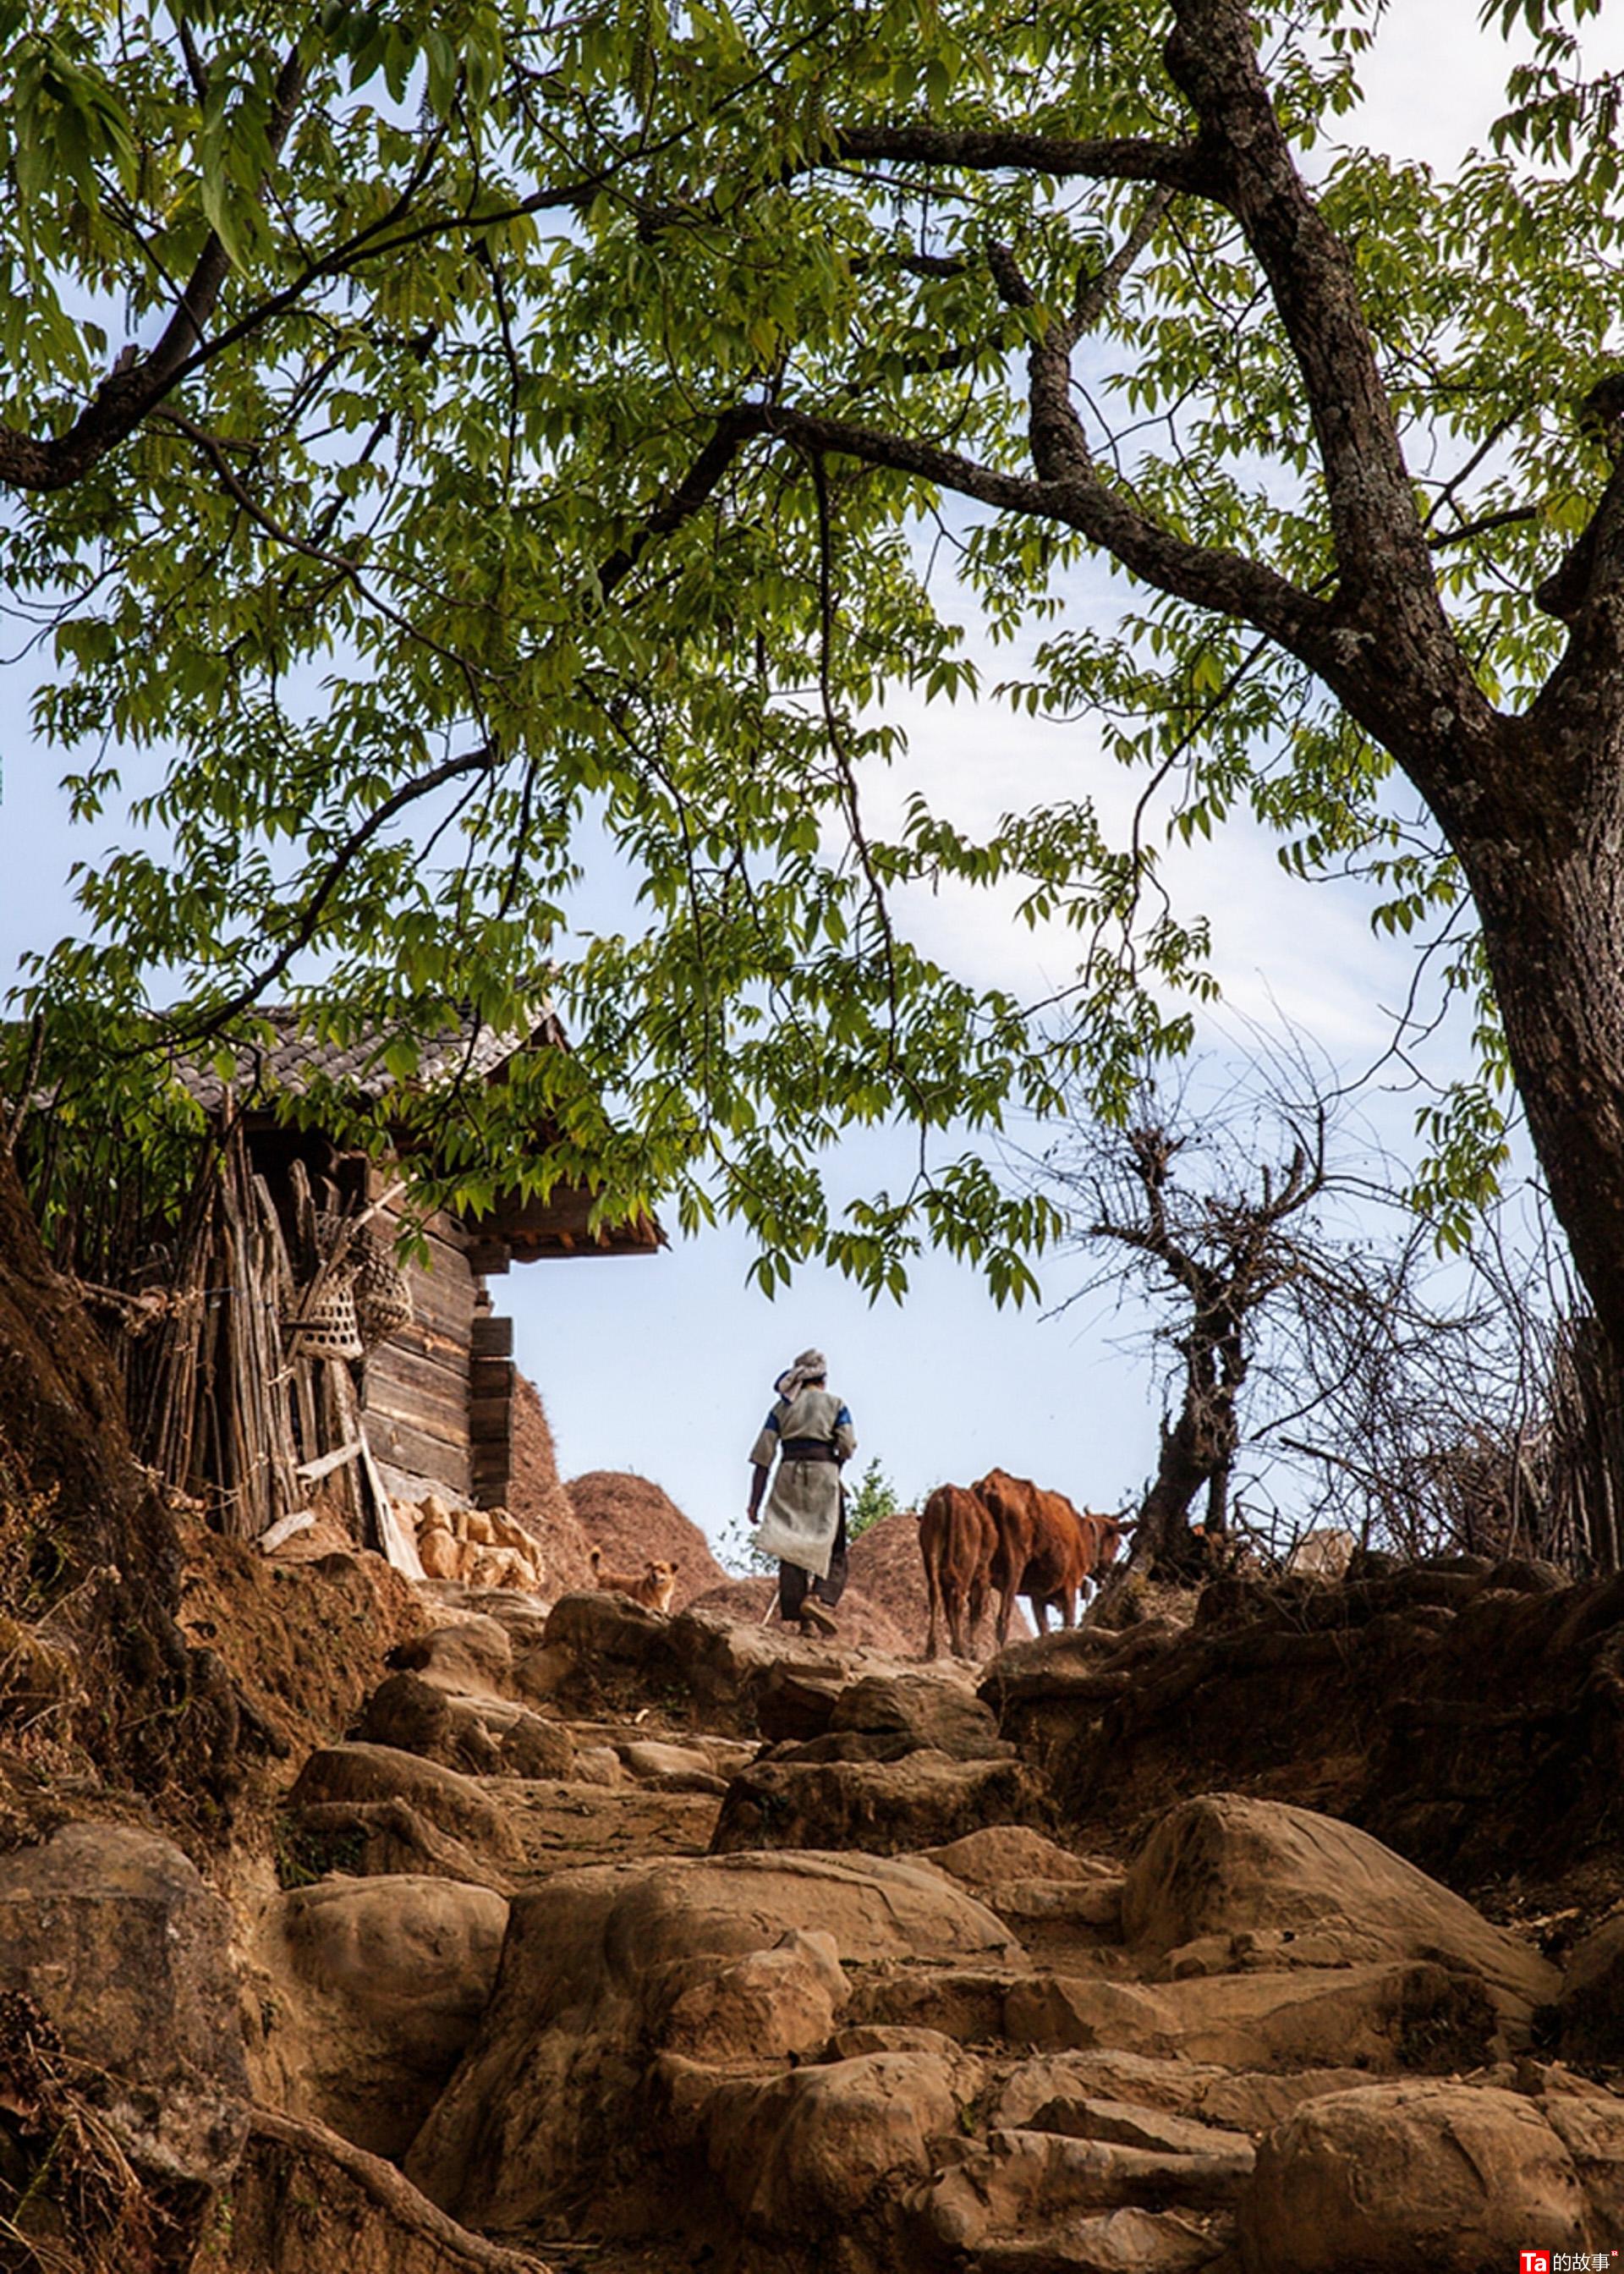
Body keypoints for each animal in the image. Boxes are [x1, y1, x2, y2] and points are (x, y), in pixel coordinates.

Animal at [919, 1482, 991, 1664]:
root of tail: (948, 1492)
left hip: (931, 1554)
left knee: (935, 1594)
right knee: (959, 1598)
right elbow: (973, 1608)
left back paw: (931, 1649)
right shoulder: (980, 1575)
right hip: (965, 1566)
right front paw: (973, 1652)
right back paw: (960, 1650)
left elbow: (947, 1606)